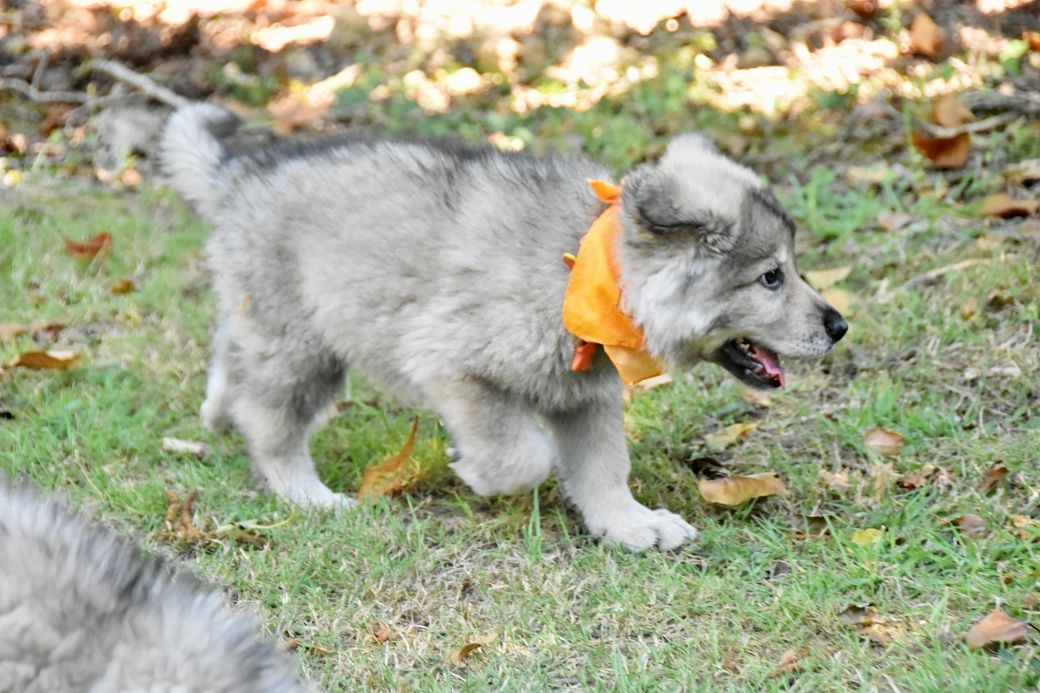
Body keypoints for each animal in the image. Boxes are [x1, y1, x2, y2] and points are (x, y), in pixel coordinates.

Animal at [160, 104, 847, 550]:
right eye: (770, 278)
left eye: (792, 267)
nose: (840, 327)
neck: (585, 273)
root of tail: (241, 175)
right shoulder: (454, 367)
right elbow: (523, 454)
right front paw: (477, 473)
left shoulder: (586, 399)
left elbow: (604, 470)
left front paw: (629, 526)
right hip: (302, 345)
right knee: (270, 421)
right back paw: (306, 494)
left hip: (271, 321)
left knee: (233, 354)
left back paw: (217, 410)